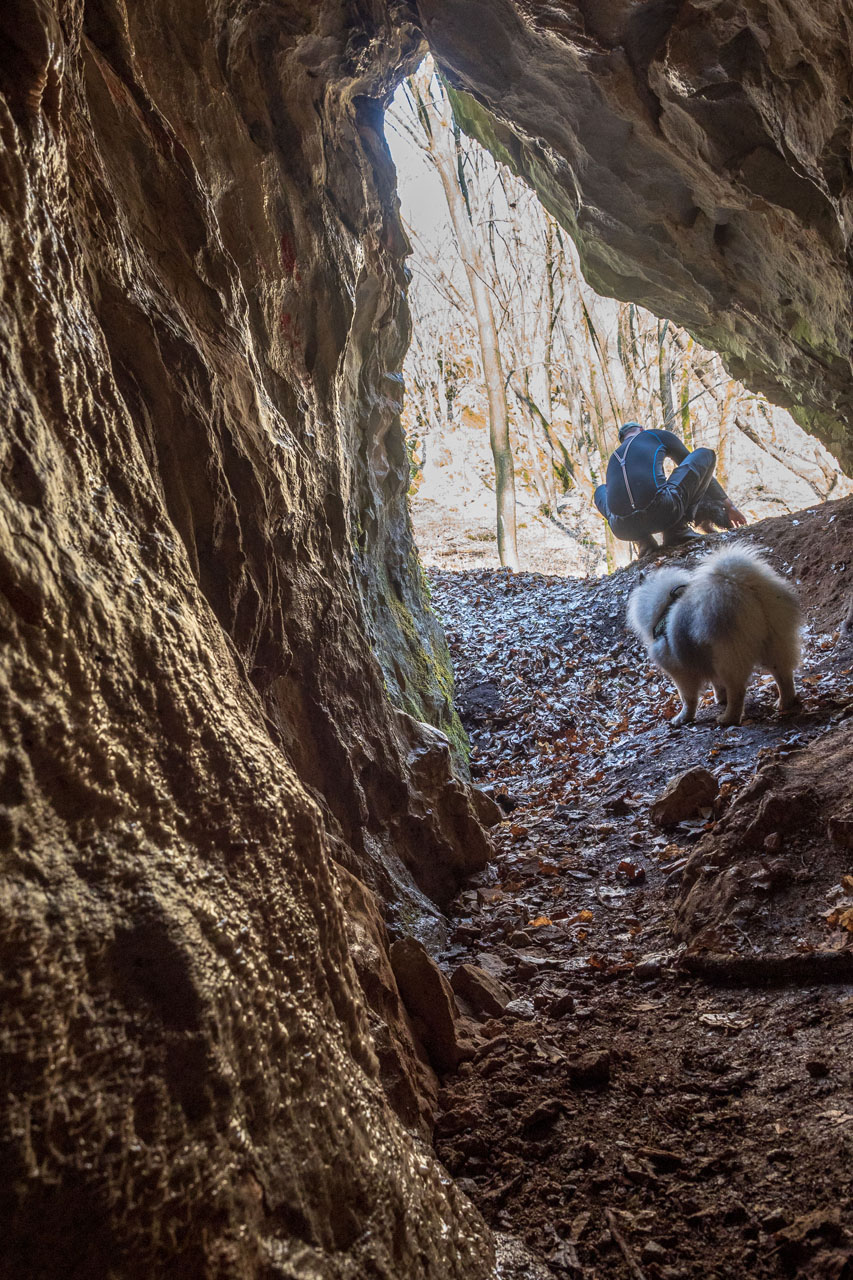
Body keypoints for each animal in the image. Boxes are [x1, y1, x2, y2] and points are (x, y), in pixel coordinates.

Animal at [625, 542, 799, 732]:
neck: (665, 607)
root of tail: (741, 586)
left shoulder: (680, 671)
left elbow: (688, 698)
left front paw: (683, 718)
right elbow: (717, 684)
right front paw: (720, 698)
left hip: (728, 656)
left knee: (738, 690)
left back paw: (729, 718)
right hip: (773, 642)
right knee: (783, 675)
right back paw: (784, 702)